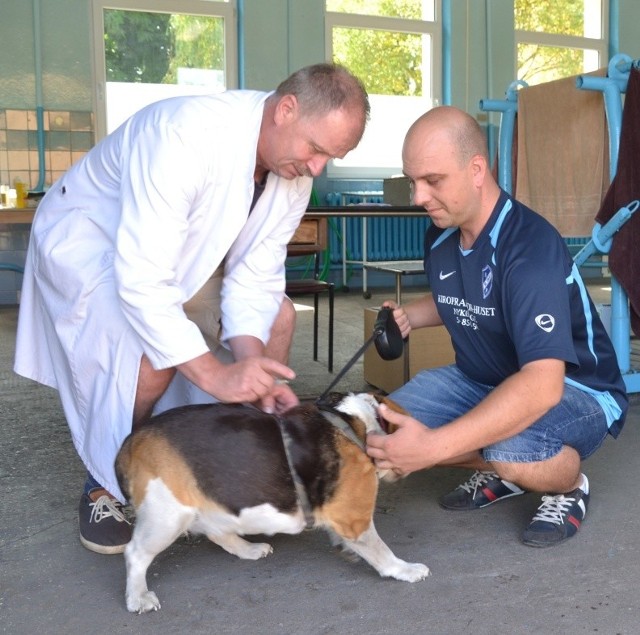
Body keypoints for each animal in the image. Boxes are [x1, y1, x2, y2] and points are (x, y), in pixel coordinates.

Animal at [116, 396, 430, 612]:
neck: (355, 425)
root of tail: (132, 441)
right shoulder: (355, 519)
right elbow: (381, 551)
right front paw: (405, 569)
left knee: (218, 534)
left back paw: (249, 549)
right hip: (167, 516)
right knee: (135, 553)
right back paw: (138, 597)